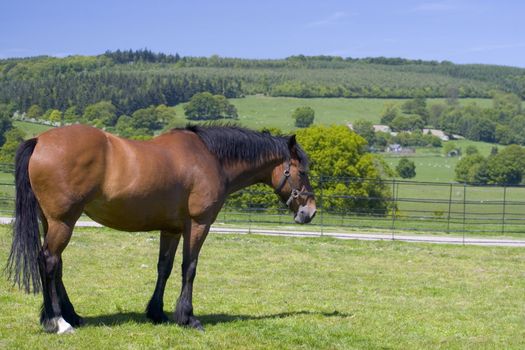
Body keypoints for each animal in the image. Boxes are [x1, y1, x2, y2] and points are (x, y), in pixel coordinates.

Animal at [6, 123, 316, 334]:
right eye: (302, 172)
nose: (310, 211)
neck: (210, 158)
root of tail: (39, 140)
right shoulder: (198, 224)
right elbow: (189, 268)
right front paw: (188, 317)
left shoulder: (172, 230)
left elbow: (164, 268)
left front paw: (157, 312)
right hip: (63, 222)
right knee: (48, 261)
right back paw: (57, 321)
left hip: (53, 222)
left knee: (57, 264)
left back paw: (71, 315)